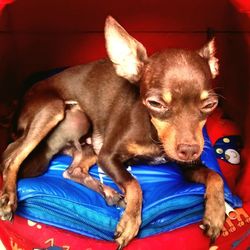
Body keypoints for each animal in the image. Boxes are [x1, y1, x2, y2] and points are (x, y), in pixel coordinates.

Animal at [0, 16, 225, 248]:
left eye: (210, 105)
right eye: (155, 103)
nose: (189, 150)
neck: (154, 134)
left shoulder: (188, 166)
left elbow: (216, 176)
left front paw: (216, 214)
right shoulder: (108, 156)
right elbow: (134, 184)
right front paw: (130, 222)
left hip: (91, 146)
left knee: (72, 171)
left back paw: (109, 193)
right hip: (53, 110)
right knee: (12, 156)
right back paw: (9, 196)